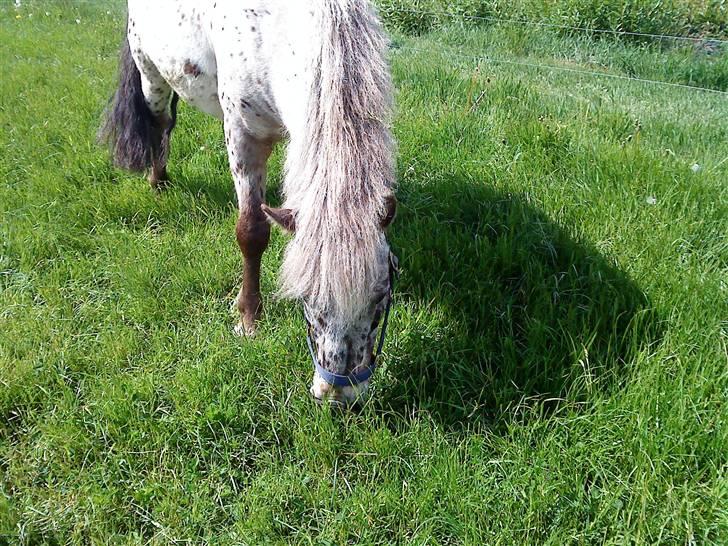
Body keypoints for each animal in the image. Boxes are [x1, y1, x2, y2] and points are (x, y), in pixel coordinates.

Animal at [99, 0, 398, 406]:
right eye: (305, 300)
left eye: (380, 297)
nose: (338, 395)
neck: (276, 28)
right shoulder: (244, 138)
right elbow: (252, 232)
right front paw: (248, 319)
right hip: (151, 75)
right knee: (161, 122)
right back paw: (158, 181)